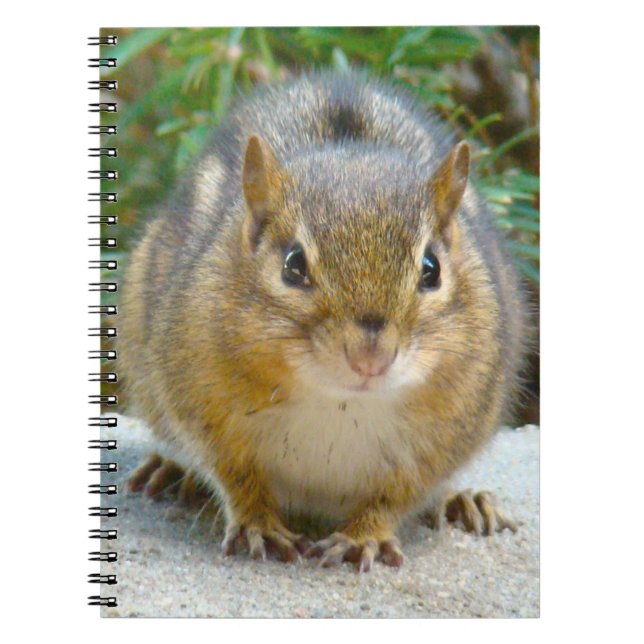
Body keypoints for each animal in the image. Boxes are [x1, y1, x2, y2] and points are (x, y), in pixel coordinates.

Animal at [120, 72, 528, 572]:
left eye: (431, 268)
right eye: (293, 265)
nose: (370, 358)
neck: (340, 402)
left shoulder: (448, 433)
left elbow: (396, 495)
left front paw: (363, 536)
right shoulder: (202, 404)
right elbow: (235, 475)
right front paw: (258, 523)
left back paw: (463, 501)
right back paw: (171, 470)